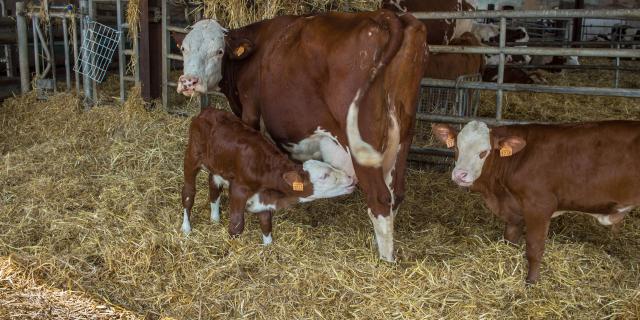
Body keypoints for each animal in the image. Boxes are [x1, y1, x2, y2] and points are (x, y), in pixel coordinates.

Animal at [182, 109, 358, 244]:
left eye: (331, 167)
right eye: (324, 176)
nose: (351, 179)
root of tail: (206, 112)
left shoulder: (264, 197)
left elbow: (266, 223)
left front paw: (268, 247)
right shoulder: (238, 190)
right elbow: (237, 225)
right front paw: (233, 247)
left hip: (217, 167)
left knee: (213, 186)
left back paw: (215, 218)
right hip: (191, 157)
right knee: (188, 194)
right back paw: (186, 227)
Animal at [430, 121, 640, 284]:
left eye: (484, 152)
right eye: (456, 148)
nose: (460, 175)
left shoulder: (539, 206)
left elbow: (534, 248)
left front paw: (531, 282)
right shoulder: (514, 211)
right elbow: (510, 238)